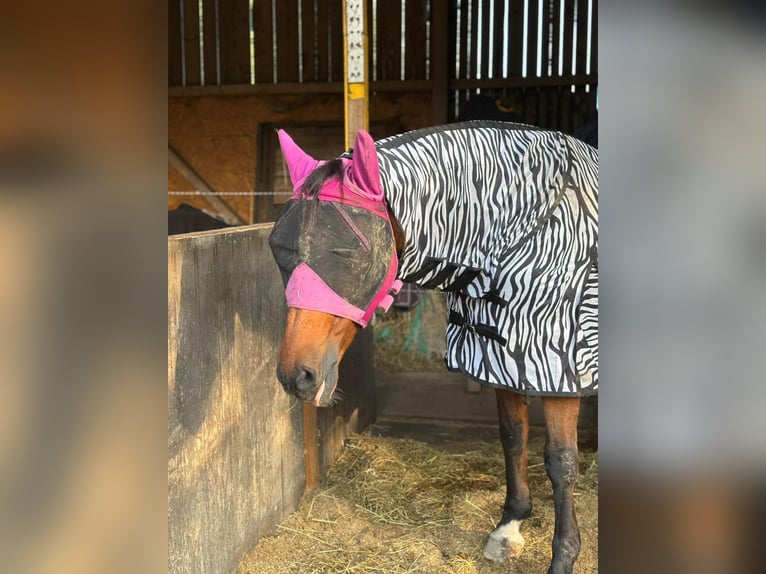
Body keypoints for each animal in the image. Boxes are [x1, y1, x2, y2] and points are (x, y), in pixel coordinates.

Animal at [268, 123, 598, 574]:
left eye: (351, 253)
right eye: (279, 249)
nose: (295, 376)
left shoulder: (558, 367)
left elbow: (561, 462)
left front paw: (564, 556)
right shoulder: (502, 357)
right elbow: (513, 437)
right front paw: (510, 526)